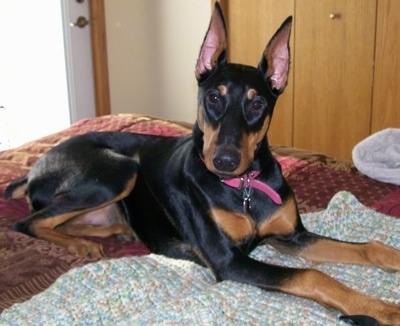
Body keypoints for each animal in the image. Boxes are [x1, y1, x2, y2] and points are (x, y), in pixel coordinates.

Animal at [4, 3, 398, 326]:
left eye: (257, 104)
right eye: (213, 97)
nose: (224, 161)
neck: (243, 188)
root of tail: (35, 166)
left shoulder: (291, 236)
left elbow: (369, 247)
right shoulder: (229, 260)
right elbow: (312, 275)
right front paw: (382, 309)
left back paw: (112, 231)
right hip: (120, 170)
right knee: (27, 222)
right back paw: (83, 244)